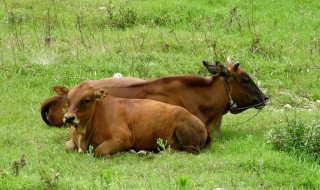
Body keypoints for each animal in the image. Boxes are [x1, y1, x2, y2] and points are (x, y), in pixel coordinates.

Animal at [62, 81, 208, 156]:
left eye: (86, 100)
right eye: (68, 100)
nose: (68, 118)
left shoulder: (123, 138)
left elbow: (99, 151)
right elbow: (68, 146)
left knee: (189, 151)